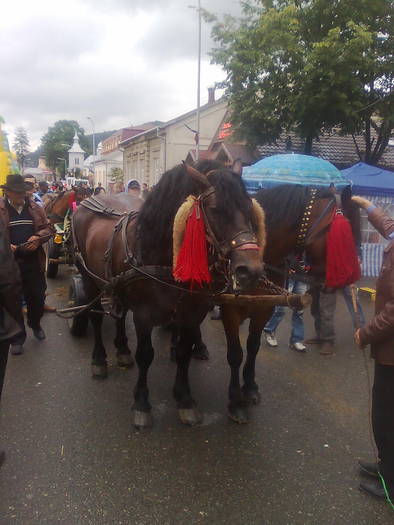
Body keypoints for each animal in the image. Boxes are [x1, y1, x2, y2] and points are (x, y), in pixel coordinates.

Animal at [73, 162, 264, 428]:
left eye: (249, 208)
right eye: (216, 210)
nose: (252, 270)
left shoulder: (191, 314)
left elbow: (184, 352)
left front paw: (185, 399)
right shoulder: (144, 316)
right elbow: (146, 355)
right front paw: (142, 403)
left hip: (116, 286)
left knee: (119, 315)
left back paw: (122, 350)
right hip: (89, 280)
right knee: (96, 317)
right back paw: (99, 360)